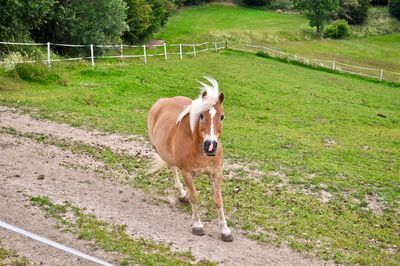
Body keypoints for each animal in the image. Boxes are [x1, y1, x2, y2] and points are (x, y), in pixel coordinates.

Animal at [148, 76, 233, 241]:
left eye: (222, 116)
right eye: (201, 115)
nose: (210, 146)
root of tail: (162, 101)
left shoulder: (217, 173)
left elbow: (218, 200)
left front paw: (225, 230)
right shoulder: (186, 173)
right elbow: (194, 197)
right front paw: (197, 225)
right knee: (172, 167)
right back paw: (182, 195)